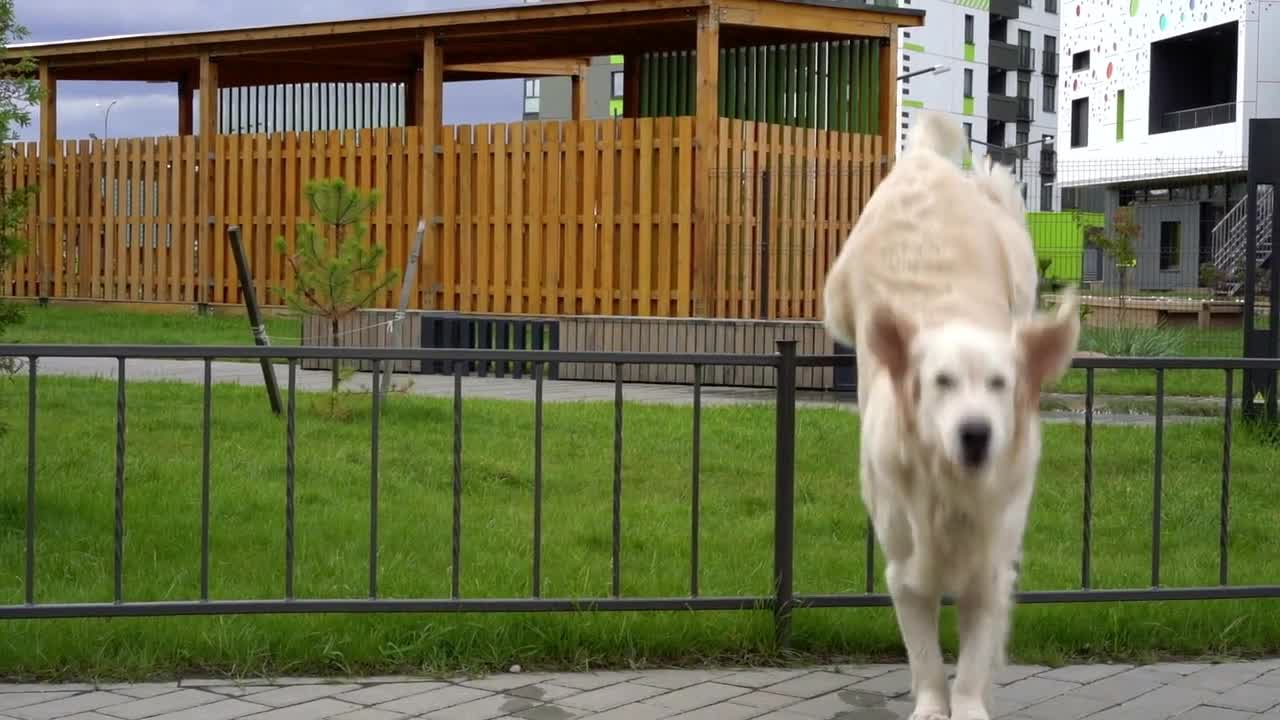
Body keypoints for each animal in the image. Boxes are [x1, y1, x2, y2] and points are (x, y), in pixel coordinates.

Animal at [819, 113, 1080, 717]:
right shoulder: (905, 569)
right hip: (836, 293)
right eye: (941, 382)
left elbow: (974, 661)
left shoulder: (992, 566)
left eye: (1000, 384)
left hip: (1016, 253)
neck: (952, 489)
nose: (975, 434)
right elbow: (927, 659)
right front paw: (931, 704)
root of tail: (922, 158)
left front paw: (968, 703)